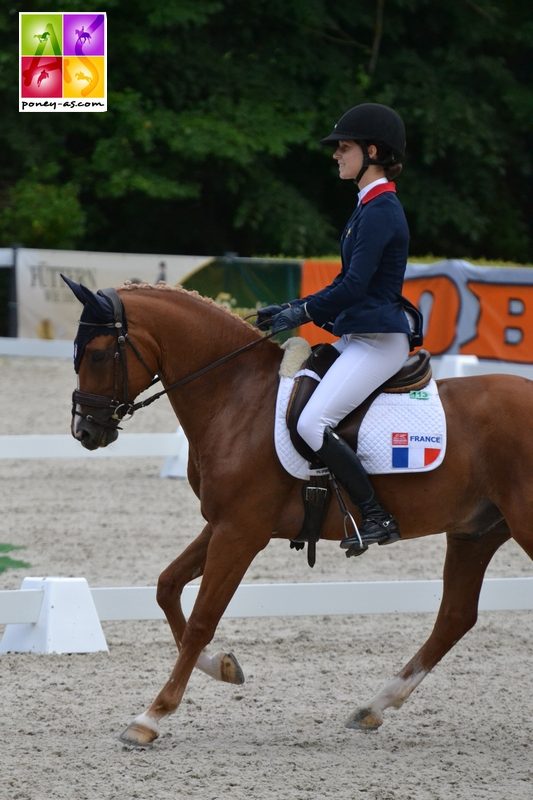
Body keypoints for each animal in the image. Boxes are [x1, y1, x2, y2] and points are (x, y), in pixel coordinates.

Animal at [65, 278, 532, 748]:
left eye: (98, 354)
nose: (84, 431)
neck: (236, 395)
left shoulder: (240, 532)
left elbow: (202, 619)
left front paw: (151, 716)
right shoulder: (223, 524)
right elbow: (167, 587)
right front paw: (224, 667)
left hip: (519, 525)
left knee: (455, 616)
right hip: (477, 532)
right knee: (455, 617)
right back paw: (373, 707)